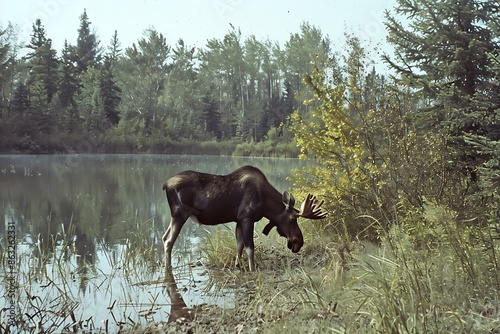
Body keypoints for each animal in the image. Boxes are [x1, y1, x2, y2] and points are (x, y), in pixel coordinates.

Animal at [163, 165, 328, 272]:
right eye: (292, 219)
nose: (299, 242)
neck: (266, 204)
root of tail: (165, 184)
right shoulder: (247, 218)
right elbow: (250, 247)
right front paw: (252, 269)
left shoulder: (239, 220)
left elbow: (239, 245)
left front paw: (238, 266)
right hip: (180, 214)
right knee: (169, 241)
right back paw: (168, 267)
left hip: (175, 216)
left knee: (165, 237)